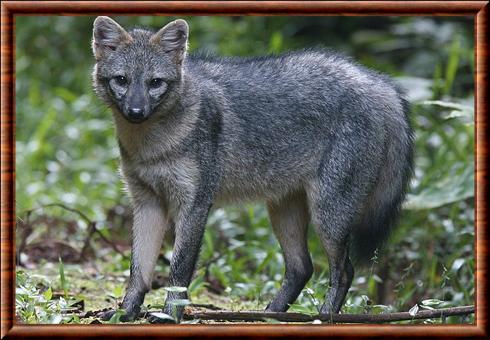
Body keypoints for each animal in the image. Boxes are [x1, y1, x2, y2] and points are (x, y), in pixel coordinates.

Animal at [91, 16, 414, 324]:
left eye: (155, 82)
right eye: (122, 80)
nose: (136, 112)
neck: (152, 147)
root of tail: (377, 80)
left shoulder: (194, 204)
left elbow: (178, 269)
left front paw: (170, 315)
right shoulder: (147, 203)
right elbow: (138, 270)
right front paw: (126, 312)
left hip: (328, 217)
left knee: (344, 270)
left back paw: (324, 317)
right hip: (285, 212)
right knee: (302, 268)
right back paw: (272, 314)